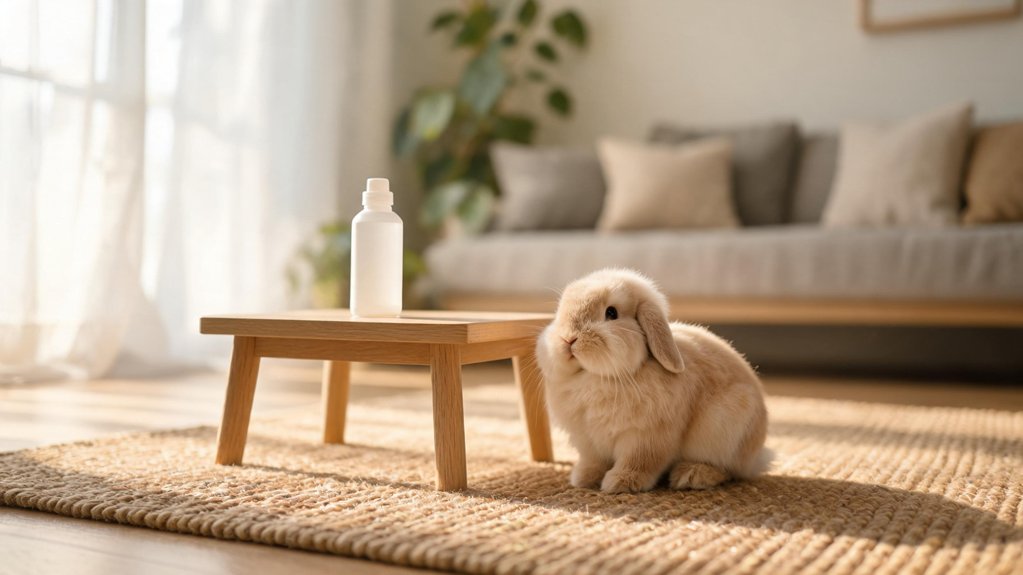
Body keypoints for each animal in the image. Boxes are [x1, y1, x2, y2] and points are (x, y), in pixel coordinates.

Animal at [536, 268, 771, 493]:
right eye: (560, 310)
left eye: (611, 313)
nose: (568, 338)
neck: (596, 377)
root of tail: (756, 457)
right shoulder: (588, 441)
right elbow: (593, 461)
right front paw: (583, 478)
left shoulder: (646, 437)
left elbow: (641, 461)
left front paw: (620, 482)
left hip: (725, 431)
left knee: (728, 470)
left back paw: (692, 475)